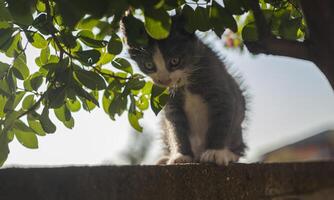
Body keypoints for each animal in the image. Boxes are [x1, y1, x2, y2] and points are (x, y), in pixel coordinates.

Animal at [122, 15, 245, 166]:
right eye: (149, 65)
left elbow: (223, 118)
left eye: (175, 61)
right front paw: (181, 155)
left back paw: (231, 154)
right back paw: (166, 157)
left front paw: (216, 152)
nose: (164, 80)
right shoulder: (170, 102)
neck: (186, 81)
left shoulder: (218, 82)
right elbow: (175, 125)